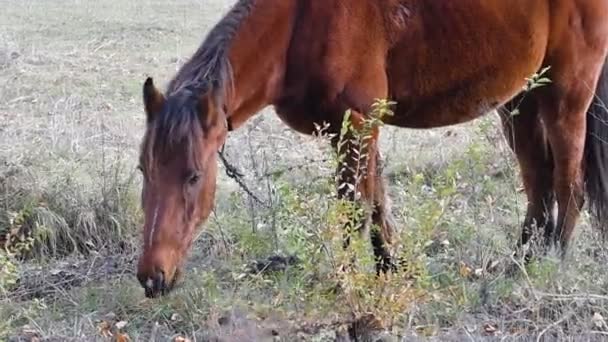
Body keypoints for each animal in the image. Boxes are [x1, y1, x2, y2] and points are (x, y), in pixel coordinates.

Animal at [135, 0, 608, 296]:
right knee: (538, 182)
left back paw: (553, 260)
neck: (297, 25)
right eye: (144, 171)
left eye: (194, 175)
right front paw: (389, 271)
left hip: (565, 97)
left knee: (568, 185)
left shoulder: (358, 125)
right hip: (520, 101)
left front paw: (343, 282)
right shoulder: (352, 130)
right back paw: (520, 262)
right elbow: (377, 205)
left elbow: (353, 210)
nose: (152, 278)